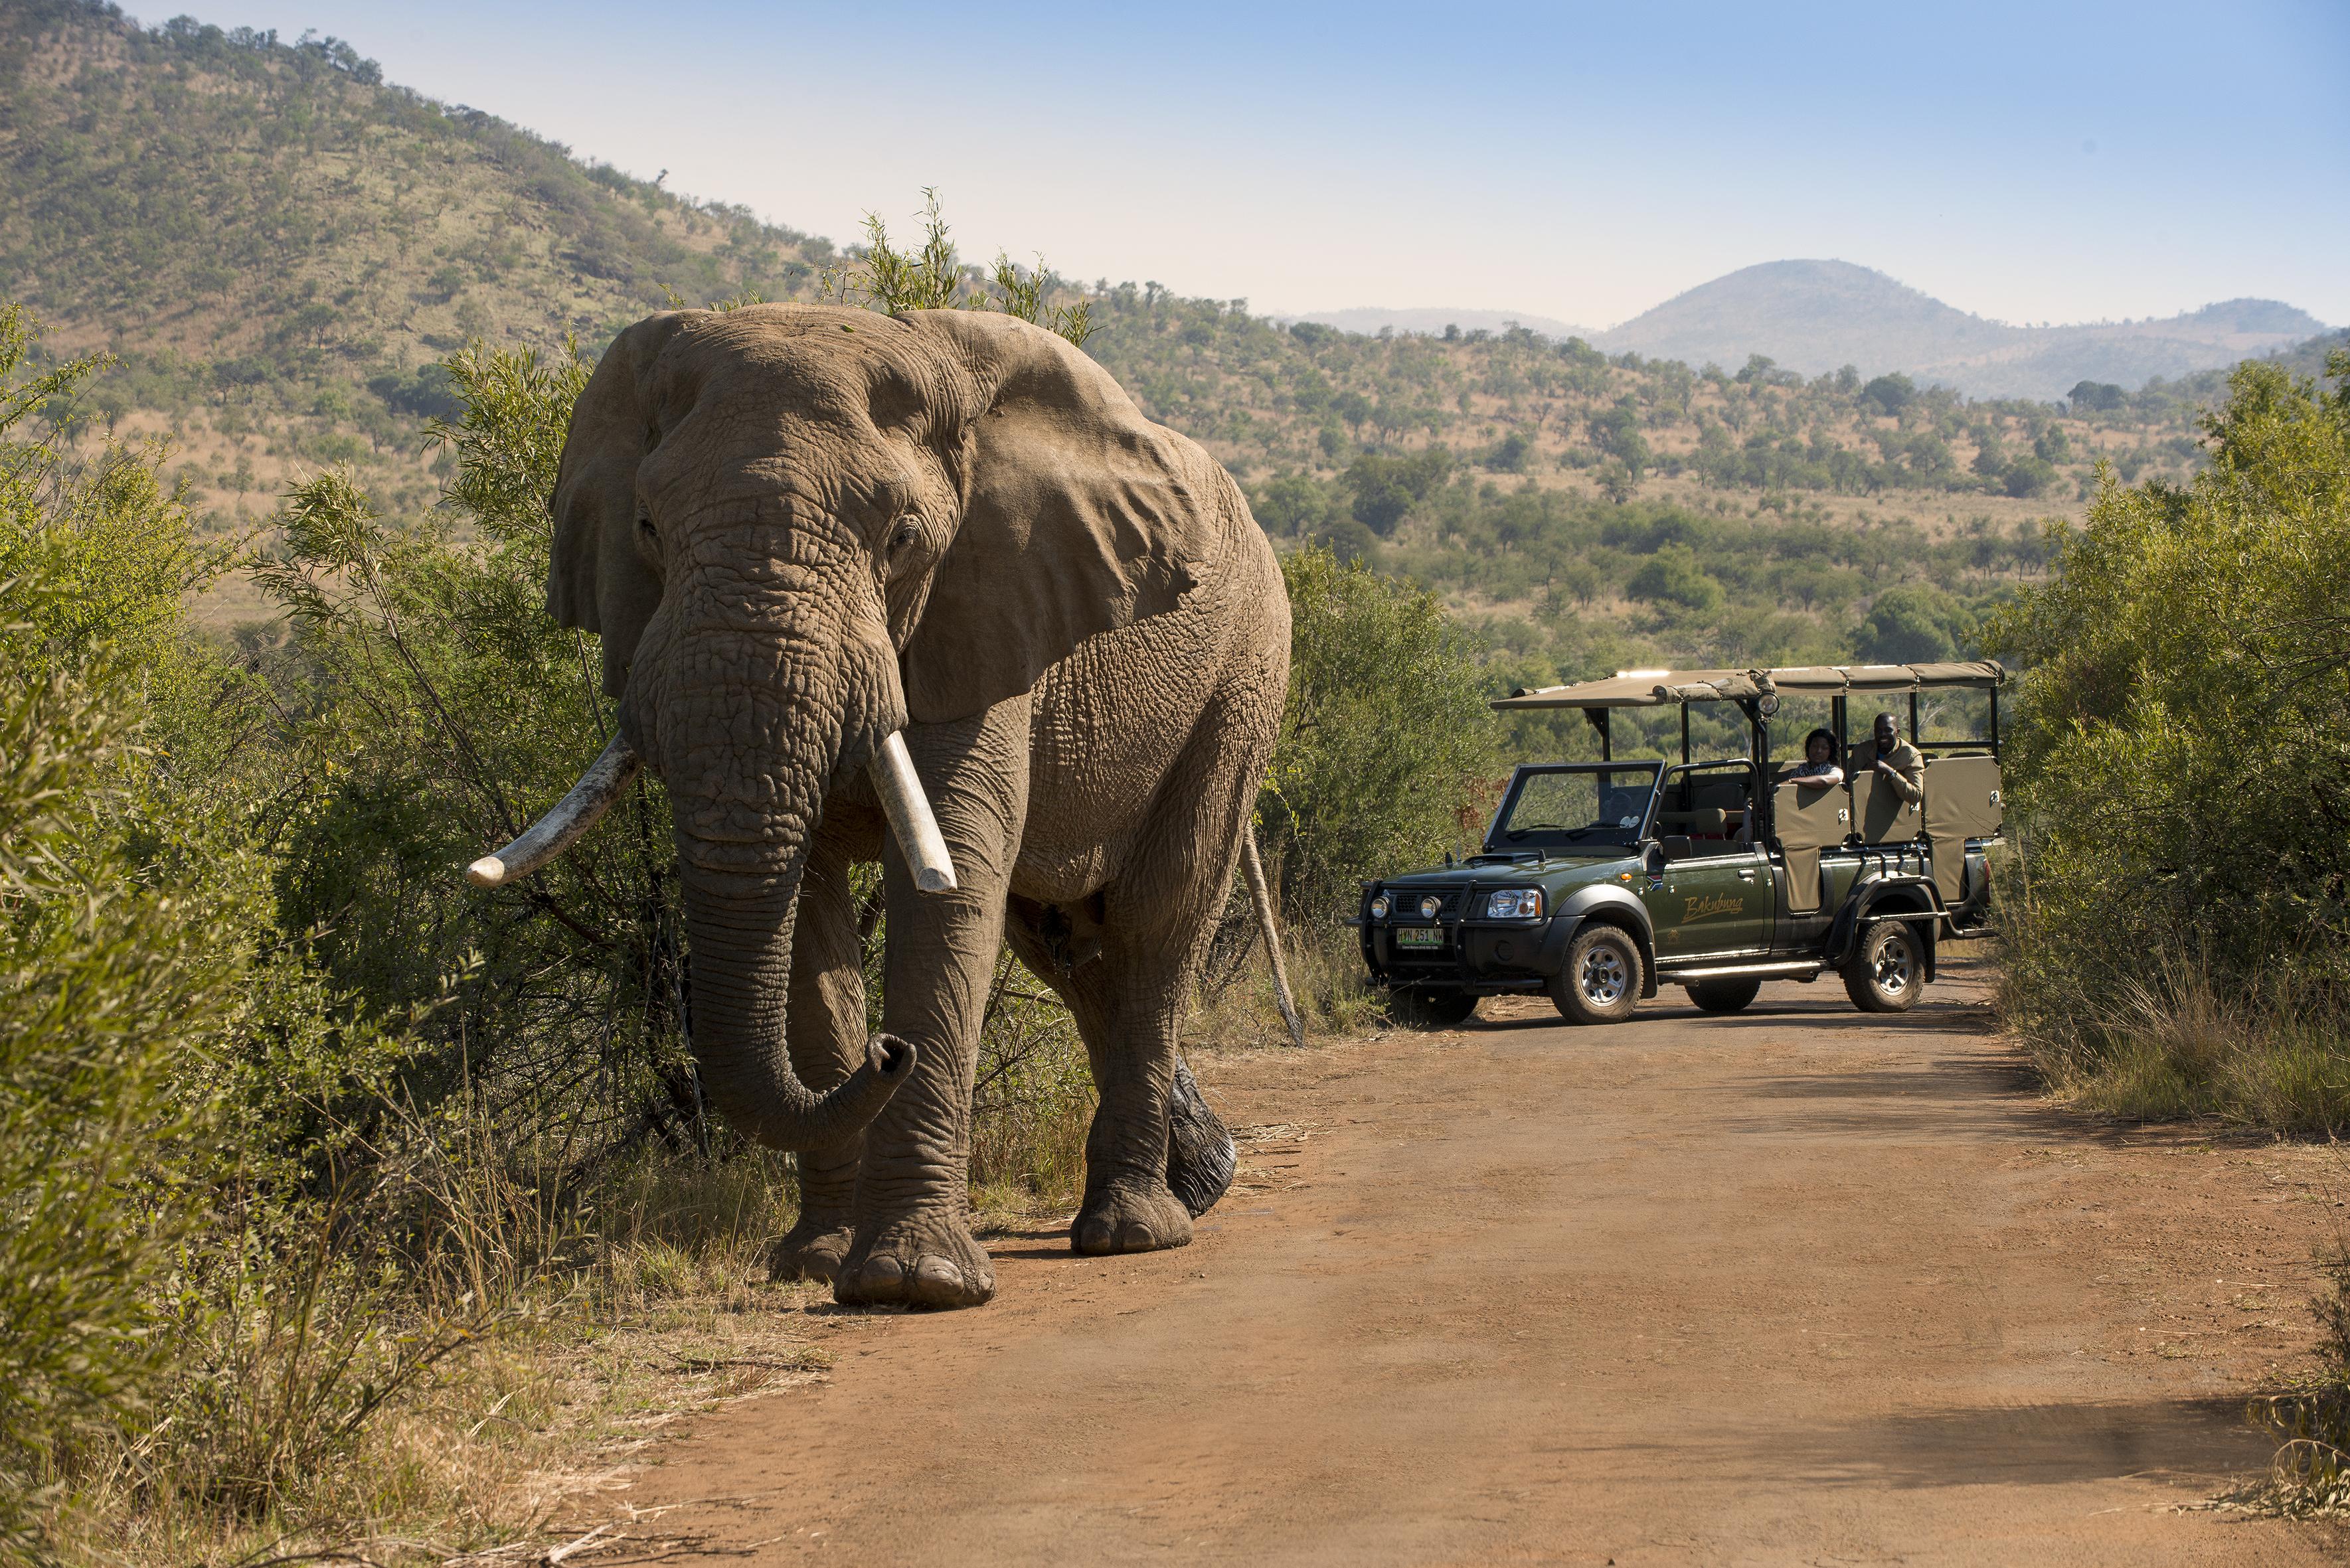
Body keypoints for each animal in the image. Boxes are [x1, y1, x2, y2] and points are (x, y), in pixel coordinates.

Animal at [467, 303, 1297, 1316]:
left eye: (901, 537)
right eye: (647, 528)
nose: (887, 1051)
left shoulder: (984, 611)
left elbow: (951, 878)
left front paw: (915, 1283)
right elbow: (807, 913)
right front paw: (815, 1263)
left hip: (1242, 679)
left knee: (1155, 920)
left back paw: (1133, 1230)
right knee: (1066, 945)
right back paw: (1200, 1181)